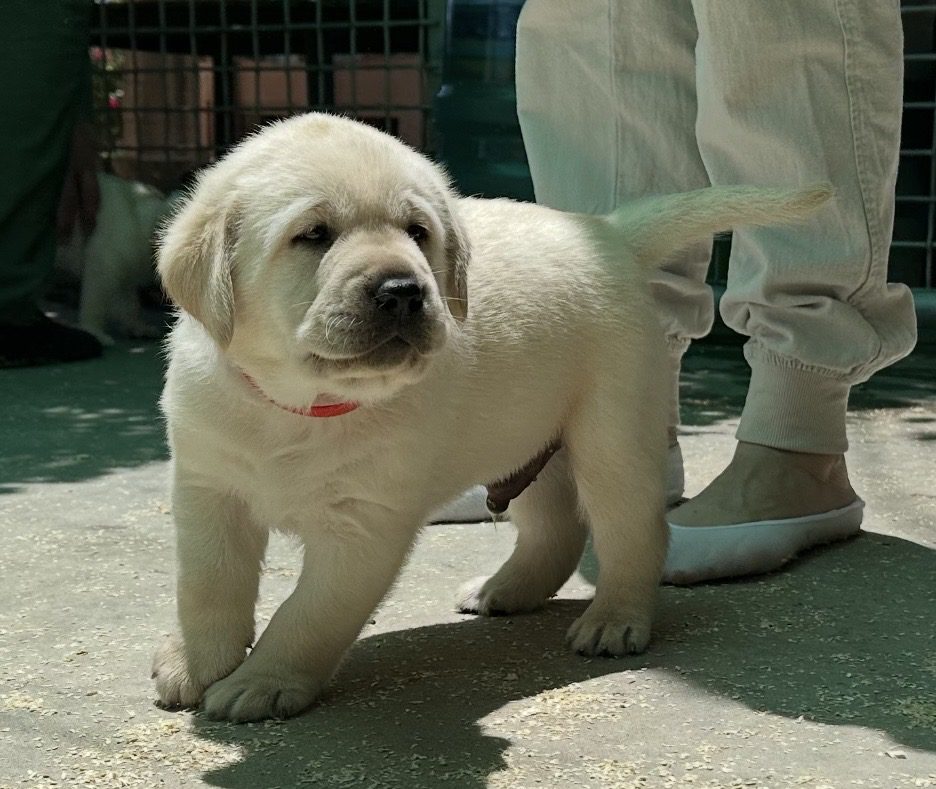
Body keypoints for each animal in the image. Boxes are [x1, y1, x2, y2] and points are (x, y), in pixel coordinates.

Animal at [56, 172, 173, 344]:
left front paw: (138, 327)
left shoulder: (126, 267)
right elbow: (94, 299)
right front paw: (95, 332)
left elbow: (128, 302)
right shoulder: (103, 260)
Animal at [150, 112, 830, 722]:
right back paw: (505, 590)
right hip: (526, 439)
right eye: (313, 234)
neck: (303, 405)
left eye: (417, 231)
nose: (403, 291)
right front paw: (194, 662)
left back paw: (615, 619)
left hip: (611, 433)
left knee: (633, 532)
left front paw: (264, 681)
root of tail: (606, 232)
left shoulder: (364, 525)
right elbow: (207, 587)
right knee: (557, 529)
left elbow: (309, 613)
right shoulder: (208, 489)